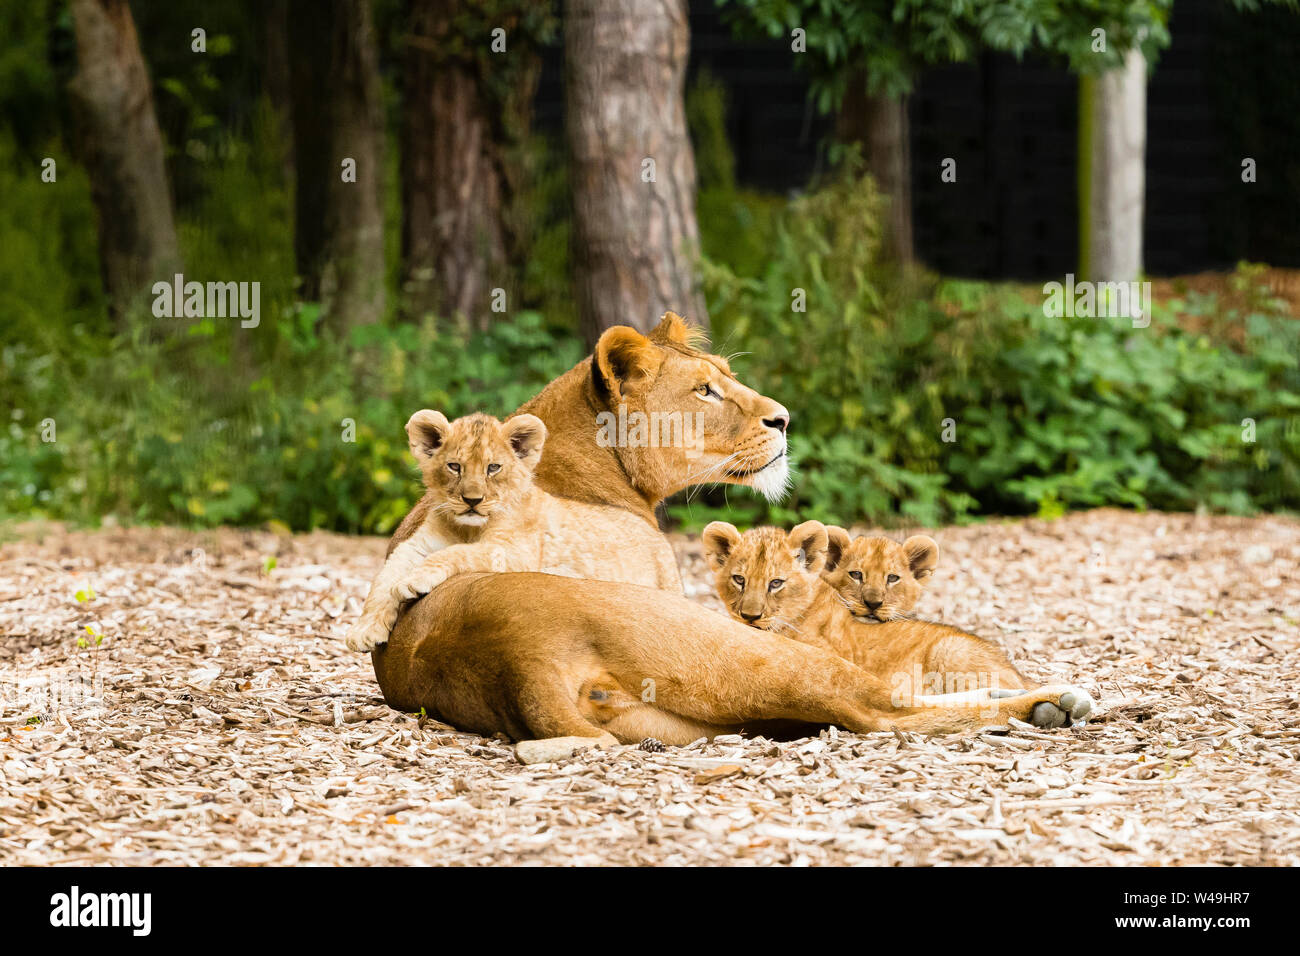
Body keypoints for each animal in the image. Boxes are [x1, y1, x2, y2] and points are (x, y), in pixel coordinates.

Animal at [344, 410, 676, 652]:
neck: (468, 529)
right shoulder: (418, 546)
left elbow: (456, 553)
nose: (472, 500)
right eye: (454, 466)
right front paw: (363, 630)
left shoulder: (514, 551)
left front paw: (414, 580)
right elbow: (383, 577)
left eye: (493, 468)